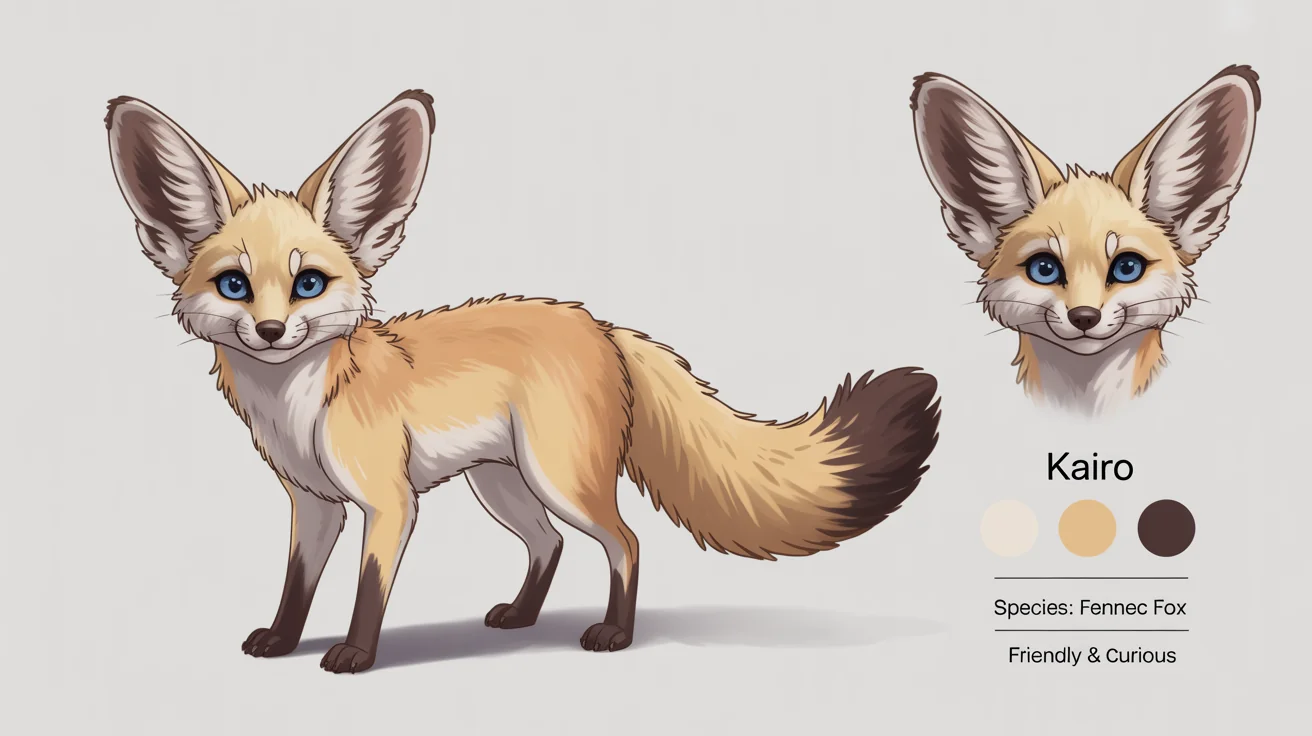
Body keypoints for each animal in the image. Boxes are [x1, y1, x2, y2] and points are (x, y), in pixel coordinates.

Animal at [105, 90, 941, 673]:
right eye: (236, 286)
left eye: (308, 283)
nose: (274, 332)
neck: (303, 409)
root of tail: (599, 324)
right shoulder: (314, 506)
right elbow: (295, 587)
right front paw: (283, 642)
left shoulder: (389, 503)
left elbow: (368, 591)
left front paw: (356, 655)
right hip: (503, 485)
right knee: (552, 545)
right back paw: (522, 617)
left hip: (559, 478)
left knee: (626, 542)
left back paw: (613, 634)